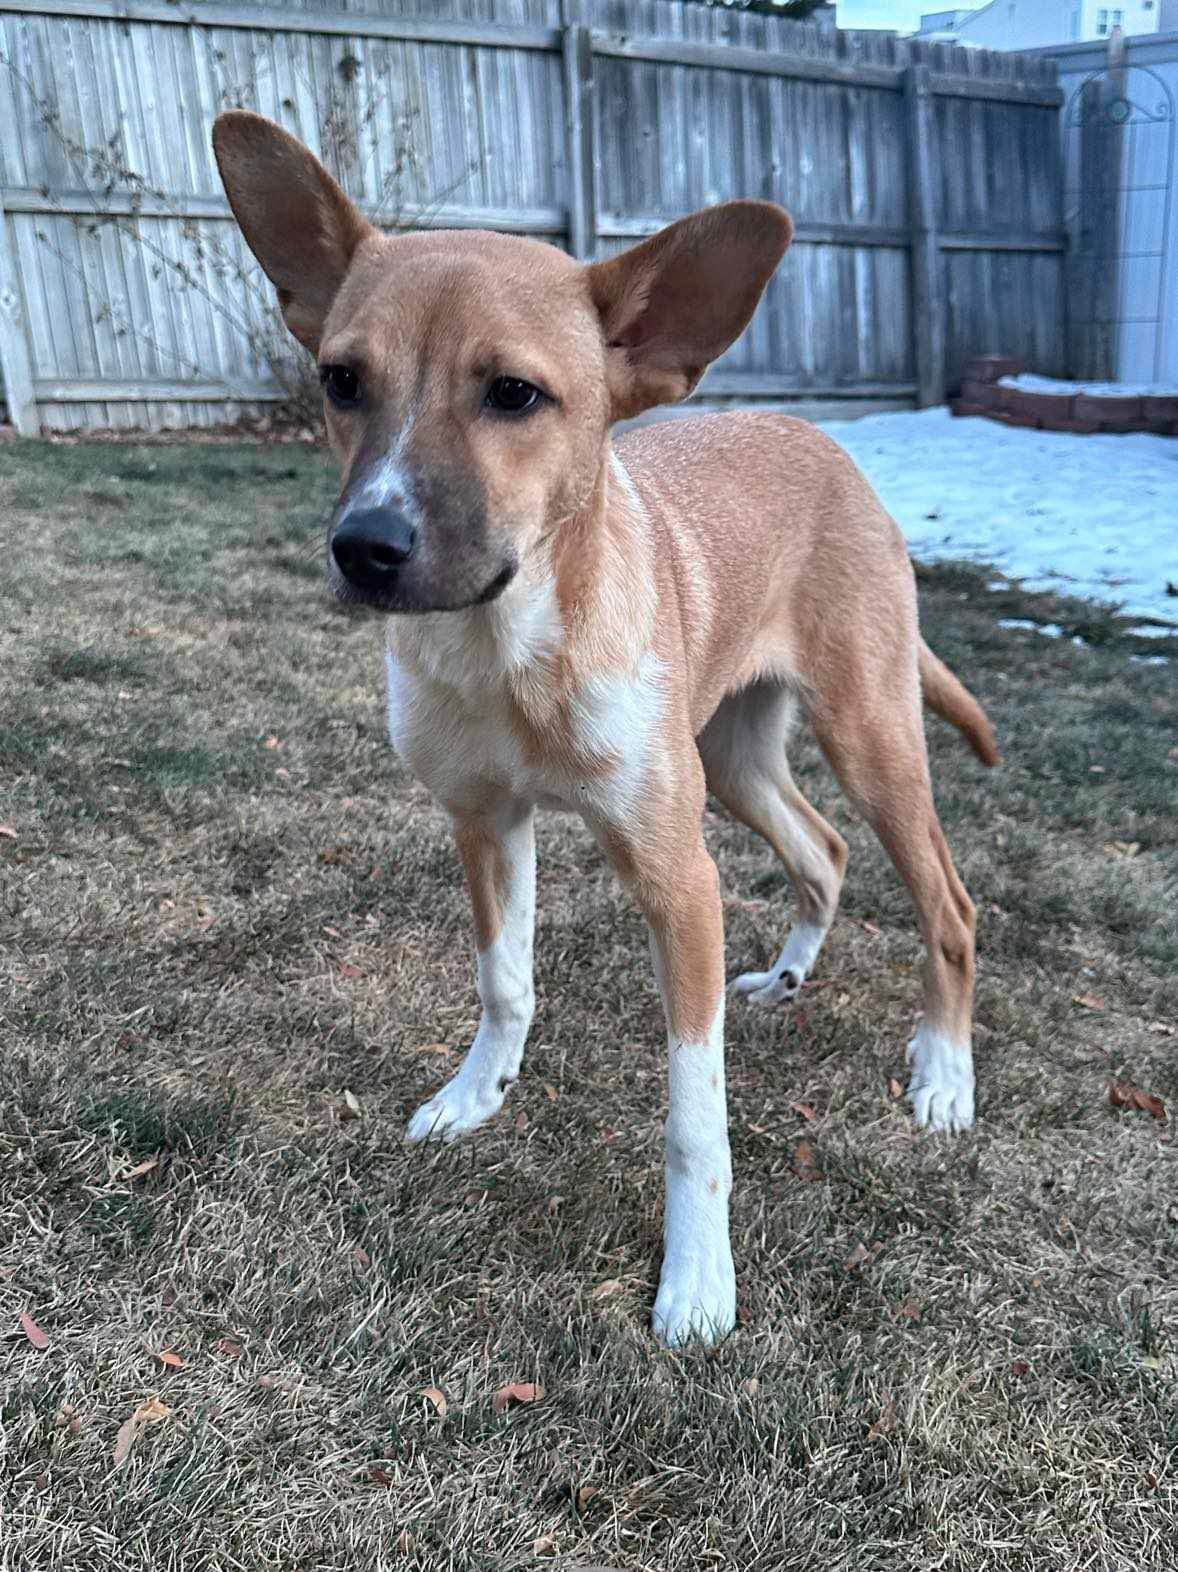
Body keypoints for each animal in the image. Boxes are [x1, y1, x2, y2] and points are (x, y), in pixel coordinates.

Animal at [215, 110, 1000, 1345]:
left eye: (513, 394)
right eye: (341, 379)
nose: (365, 549)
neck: (506, 650)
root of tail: (827, 443)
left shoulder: (678, 876)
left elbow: (692, 1115)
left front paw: (697, 1281)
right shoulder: (486, 824)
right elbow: (505, 983)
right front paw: (476, 1097)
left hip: (871, 738)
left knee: (947, 906)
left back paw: (942, 1077)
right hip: (732, 758)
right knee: (821, 848)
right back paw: (789, 976)